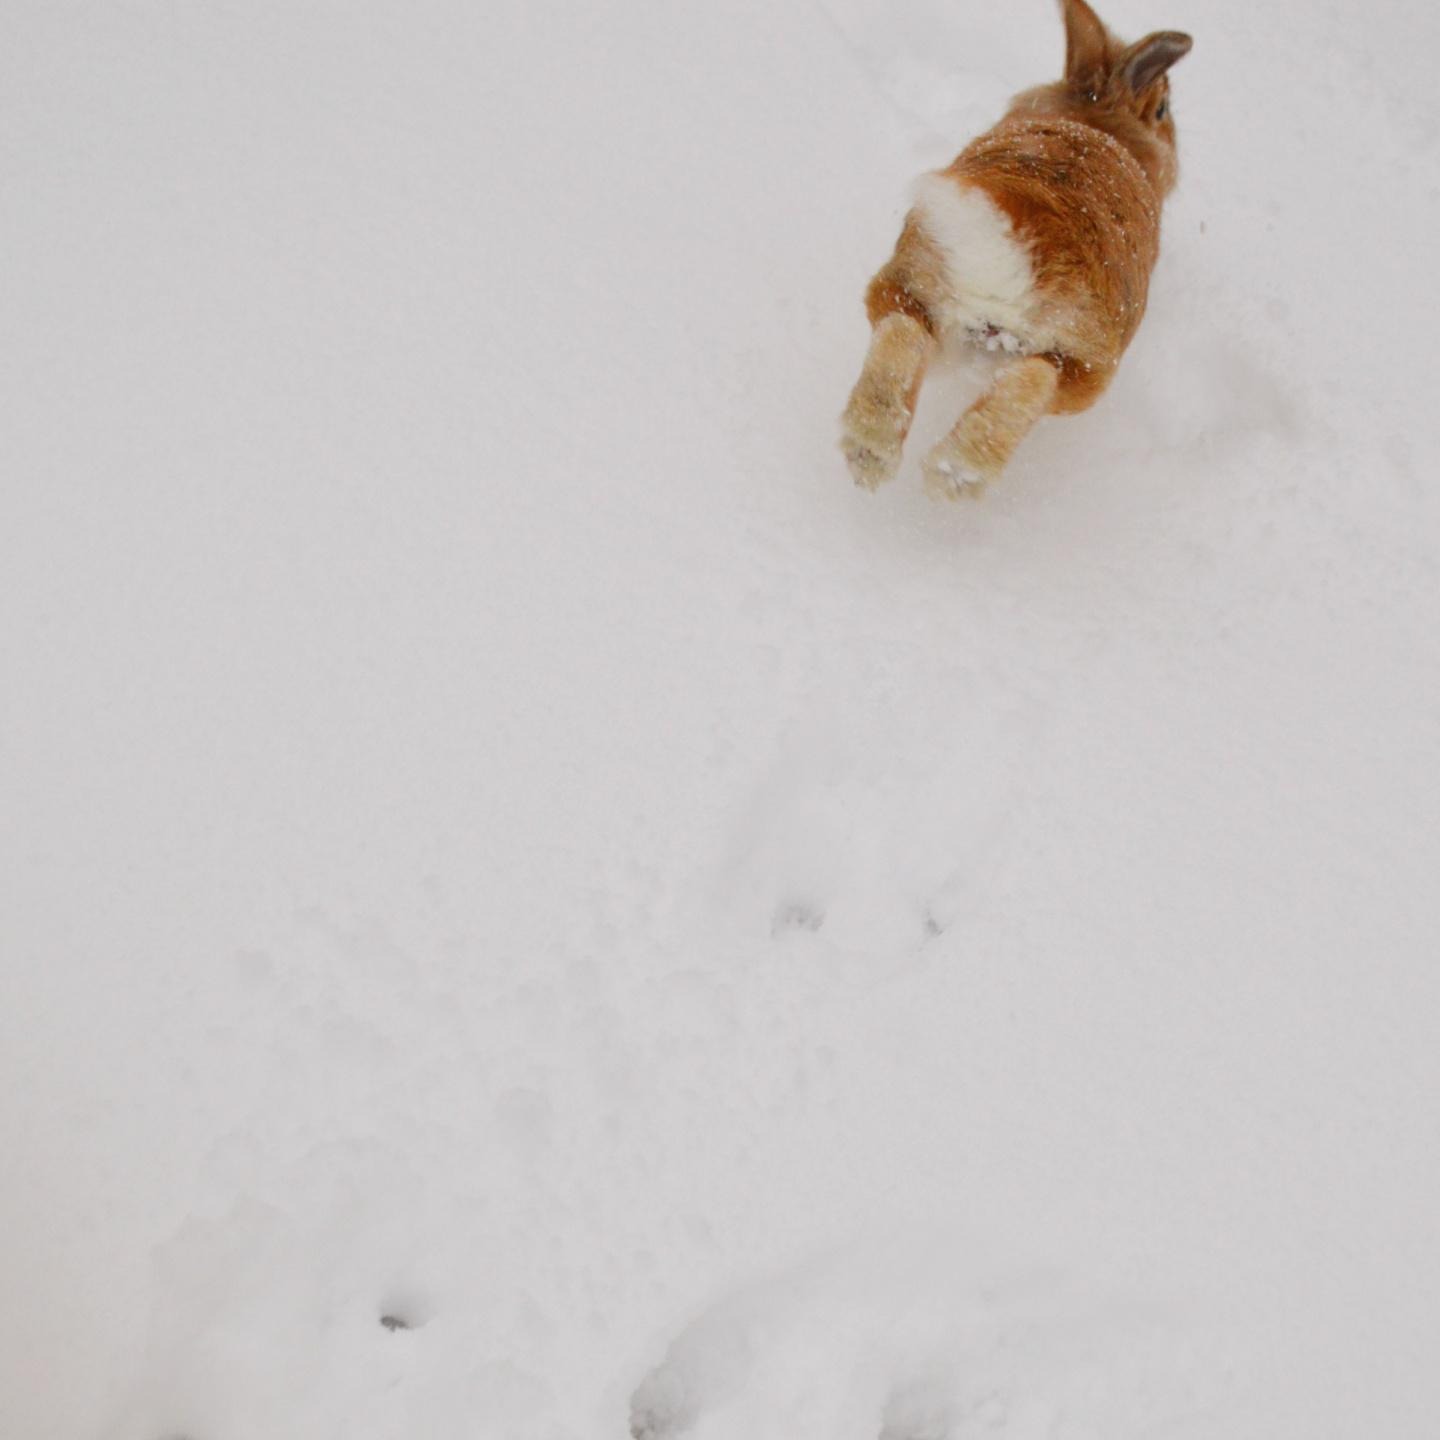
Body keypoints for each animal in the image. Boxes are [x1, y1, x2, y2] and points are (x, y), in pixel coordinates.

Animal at [840, 0, 1186, 498]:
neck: (1095, 116)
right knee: (1035, 378)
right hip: (1085, 365)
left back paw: (870, 451)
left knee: (901, 330)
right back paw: (956, 473)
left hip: (911, 289)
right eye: (1161, 109)